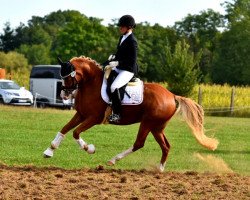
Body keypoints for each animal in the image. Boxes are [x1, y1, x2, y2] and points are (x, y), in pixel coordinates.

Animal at [43, 55, 219, 172]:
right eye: (62, 76)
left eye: (68, 76)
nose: (64, 95)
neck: (91, 83)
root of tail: (172, 95)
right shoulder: (80, 114)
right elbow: (64, 129)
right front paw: (49, 151)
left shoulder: (93, 118)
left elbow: (75, 132)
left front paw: (89, 148)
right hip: (157, 127)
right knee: (166, 146)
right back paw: (159, 170)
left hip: (147, 123)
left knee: (139, 143)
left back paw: (113, 160)